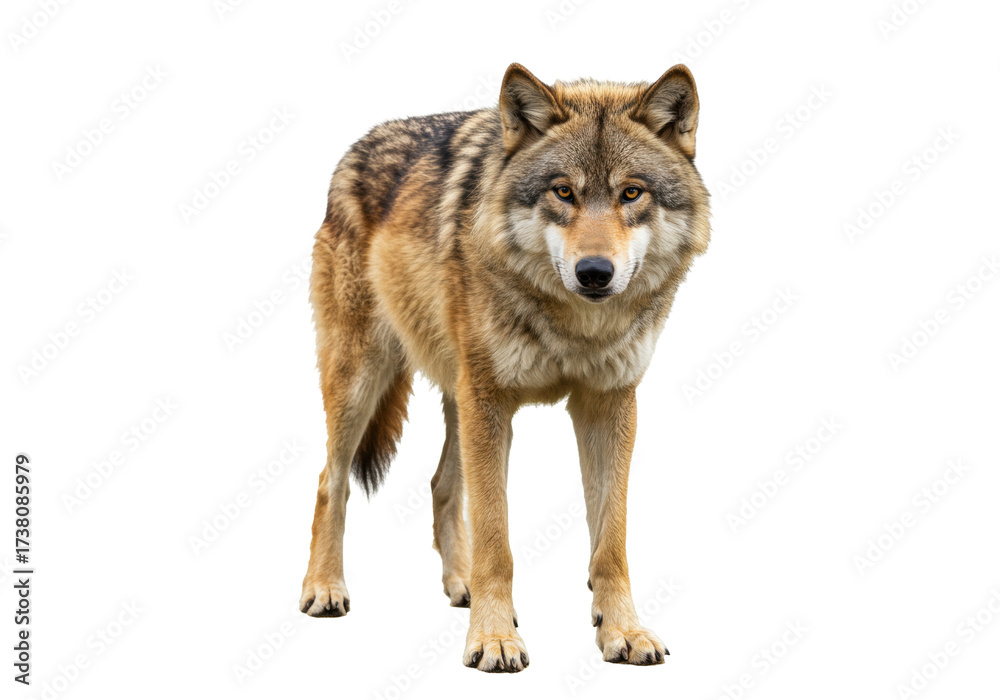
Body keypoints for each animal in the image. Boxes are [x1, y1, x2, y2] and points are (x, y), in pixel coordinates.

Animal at [299, 63, 710, 672]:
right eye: (563, 191)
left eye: (631, 192)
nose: (594, 272)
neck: (574, 326)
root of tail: (357, 147)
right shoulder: (490, 402)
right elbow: (497, 537)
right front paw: (494, 640)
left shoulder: (608, 404)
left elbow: (610, 542)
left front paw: (623, 631)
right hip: (363, 381)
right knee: (333, 480)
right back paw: (325, 587)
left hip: (457, 399)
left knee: (442, 486)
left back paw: (462, 585)